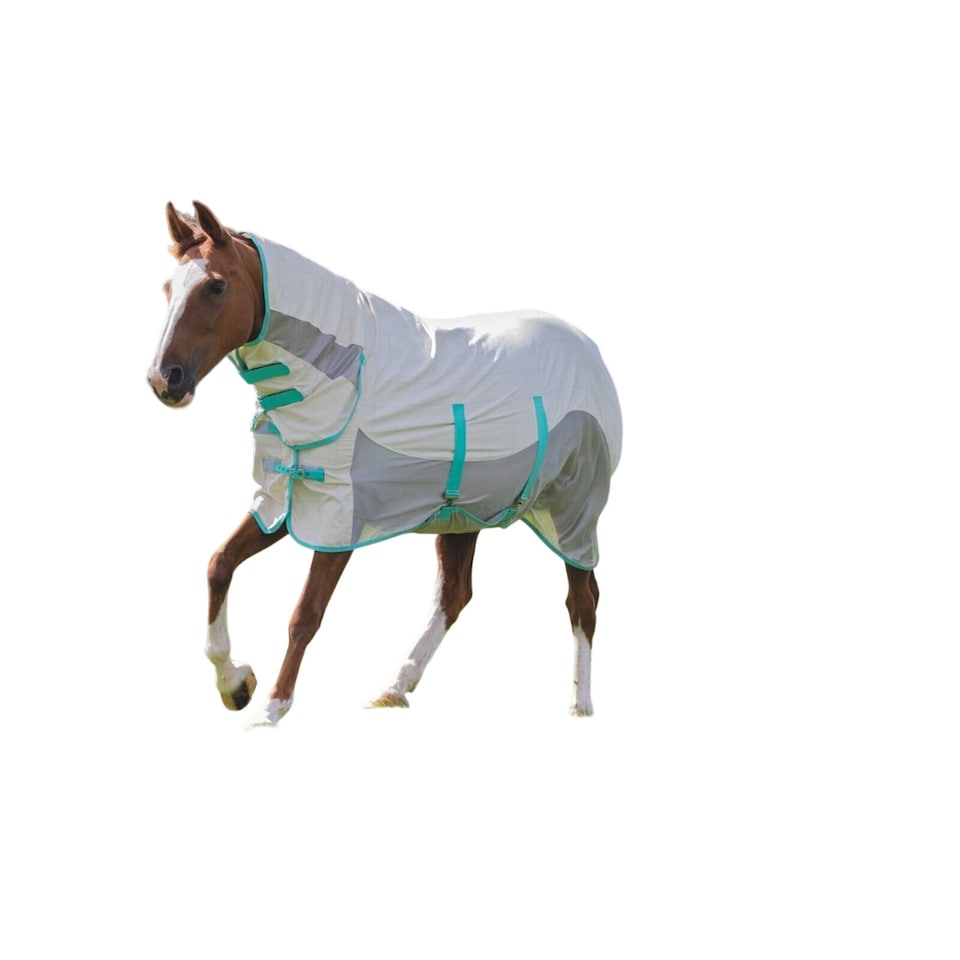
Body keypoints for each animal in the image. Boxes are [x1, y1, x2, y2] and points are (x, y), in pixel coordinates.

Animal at [147, 201, 622, 726]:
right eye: (169, 288)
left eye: (215, 286)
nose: (164, 380)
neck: (339, 378)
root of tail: (591, 351)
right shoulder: (284, 503)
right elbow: (219, 565)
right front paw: (235, 684)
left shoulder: (339, 522)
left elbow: (305, 615)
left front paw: (270, 709)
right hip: (464, 516)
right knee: (455, 596)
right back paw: (395, 688)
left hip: (573, 511)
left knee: (582, 601)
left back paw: (580, 705)